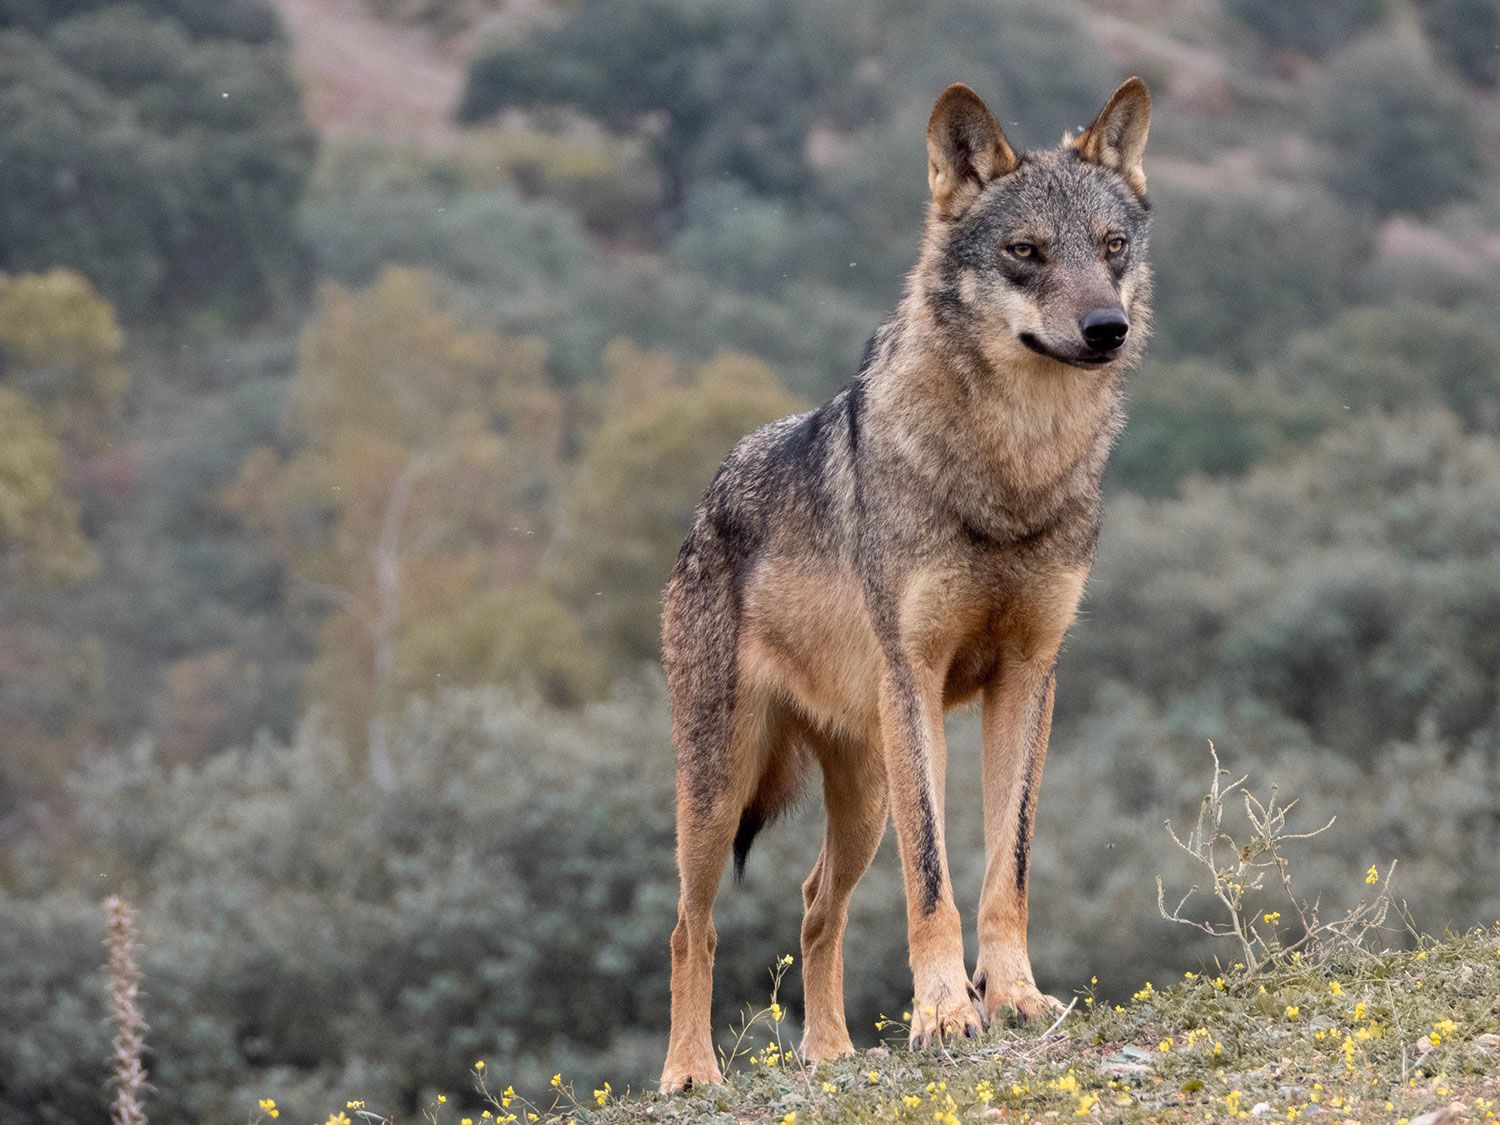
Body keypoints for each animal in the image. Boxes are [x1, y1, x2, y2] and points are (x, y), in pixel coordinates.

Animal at [654, 72, 1146, 1092]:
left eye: (1112, 247)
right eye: (1026, 252)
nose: (1107, 330)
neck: (1010, 472)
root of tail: (707, 497)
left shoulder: (1029, 678)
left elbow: (1006, 868)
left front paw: (1014, 997)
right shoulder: (915, 677)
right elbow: (933, 880)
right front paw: (945, 1014)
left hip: (864, 790)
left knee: (814, 902)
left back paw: (829, 1053)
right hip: (722, 787)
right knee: (691, 924)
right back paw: (689, 1072)